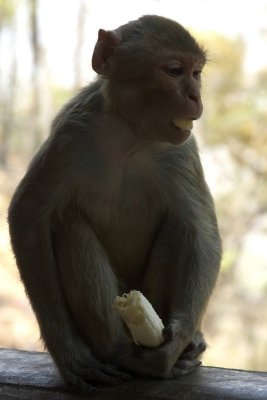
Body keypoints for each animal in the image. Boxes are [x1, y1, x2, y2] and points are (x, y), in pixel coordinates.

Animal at [7, 14, 222, 394]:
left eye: (196, 73)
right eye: (174, 71)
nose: (195, 96)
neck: (130, 137)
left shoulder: (181, 151)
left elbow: (202, 233)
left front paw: (180, 337)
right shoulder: (71, 136)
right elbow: (28, 218)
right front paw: (70, 355)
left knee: (178, 227)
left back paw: (178, 352)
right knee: (68, 224)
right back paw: (118, 351)